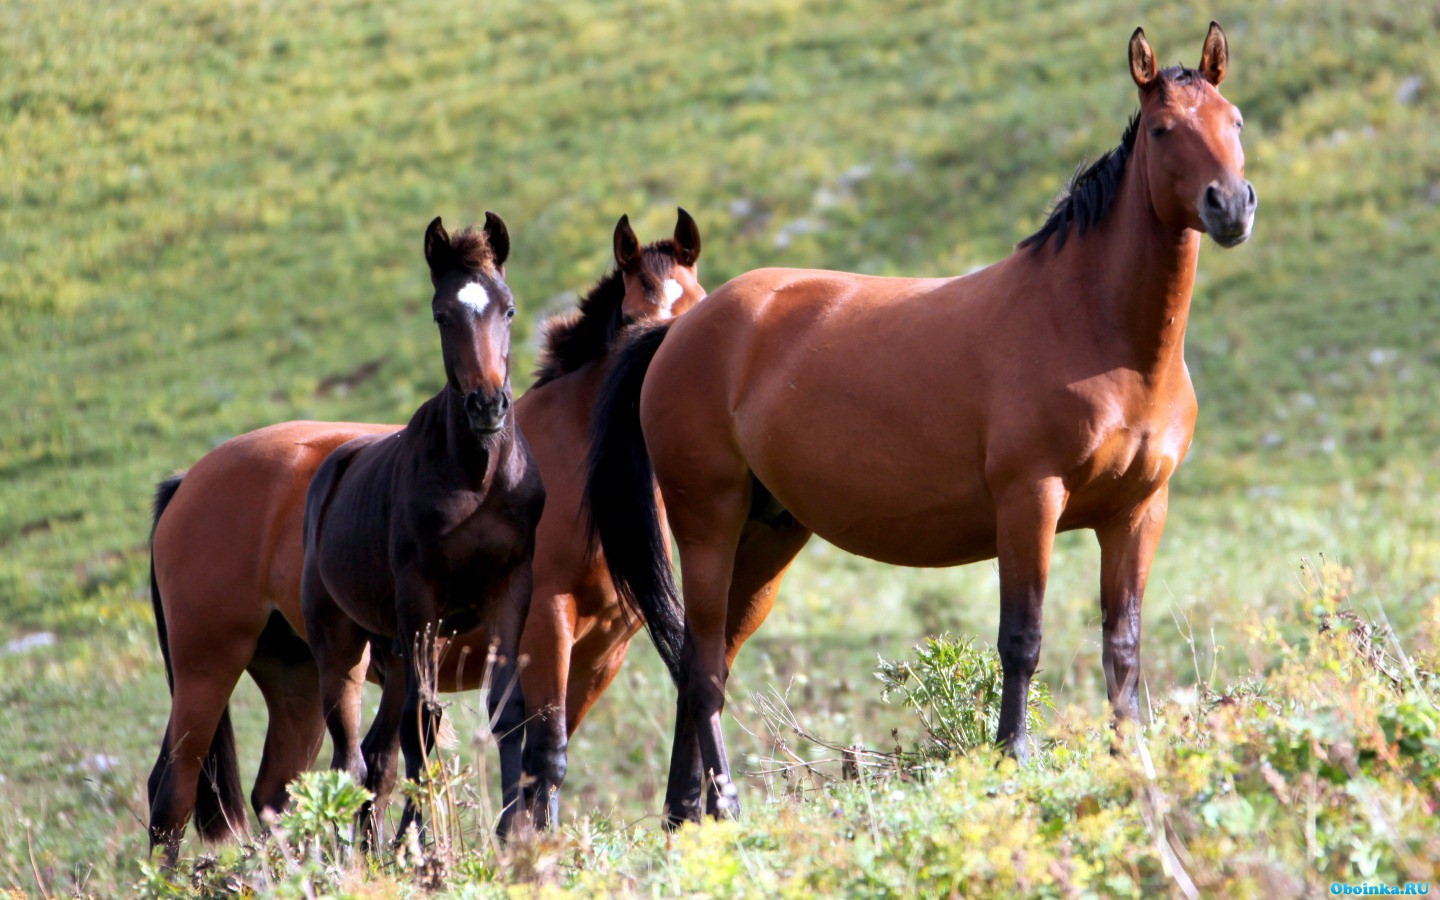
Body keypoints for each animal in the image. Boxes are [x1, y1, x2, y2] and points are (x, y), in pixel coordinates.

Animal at [144, 208, 702, 858]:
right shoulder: (545, 628)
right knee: (173, 791)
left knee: (279, 791)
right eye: (634, 319)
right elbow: (539, 747)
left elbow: (543, 756)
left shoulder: (598, 655)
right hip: (208, 666)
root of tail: (186, 482)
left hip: (297, 675)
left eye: (698, 308)